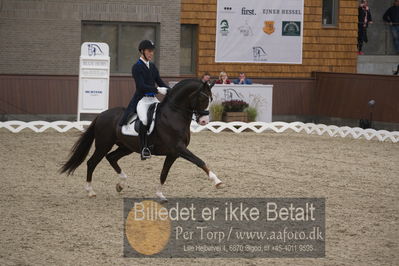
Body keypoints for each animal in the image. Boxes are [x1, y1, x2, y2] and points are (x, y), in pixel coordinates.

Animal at [59, 79, 223, 200]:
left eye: (211, 99)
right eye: (202, 98)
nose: (204, 121)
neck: (174, 114)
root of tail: (101, 115)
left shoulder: (173, 153)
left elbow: (164, 173)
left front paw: (159, 194)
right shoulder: (179, 148)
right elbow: (199, 161)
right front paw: (217, 181)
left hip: (126, 147)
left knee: (111, 157)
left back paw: (121, 184)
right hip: (103, 145)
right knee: (92, 162)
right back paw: (90, 190)